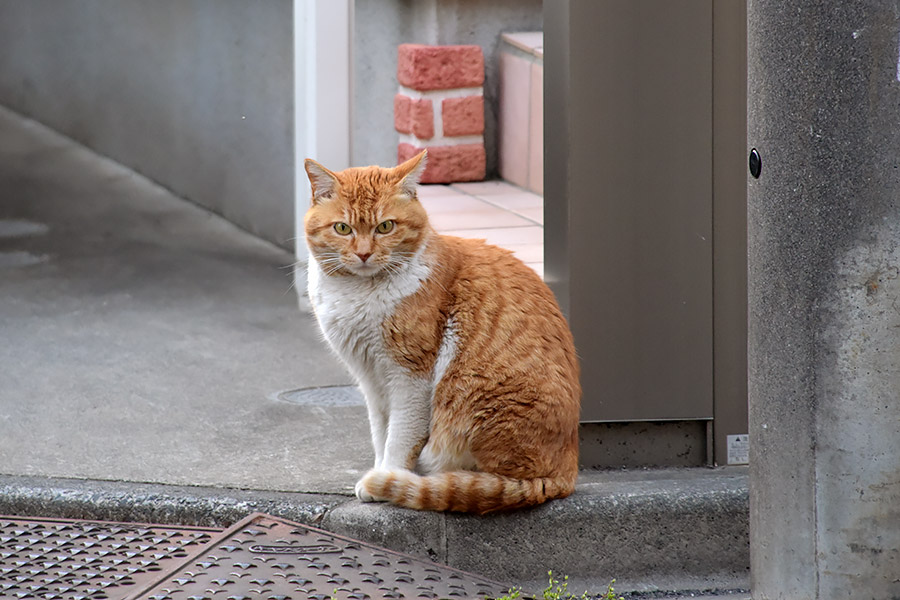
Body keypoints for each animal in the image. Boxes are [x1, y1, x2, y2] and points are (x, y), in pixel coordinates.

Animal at [306, 152, 580, 512]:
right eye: (342, 228)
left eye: (385, 227)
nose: (364, 254)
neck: (358, 294)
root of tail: (567, 472)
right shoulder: (371, 379)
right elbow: (381, 432)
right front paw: (380, 469)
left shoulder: (410, 377)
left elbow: (399, 437)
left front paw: (387, 477)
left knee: (497, 479)